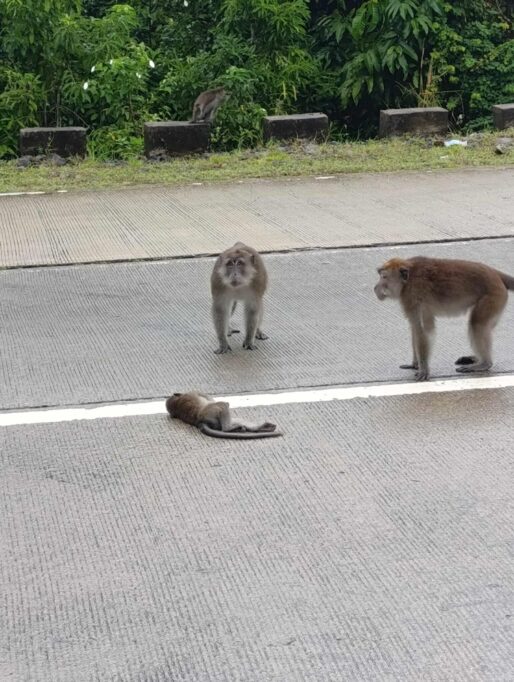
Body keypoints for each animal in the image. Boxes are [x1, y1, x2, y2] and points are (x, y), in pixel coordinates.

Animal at [374, 256, 514, 381]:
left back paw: (484, 363)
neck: (407, 282)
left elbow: (424, 330)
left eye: (384, 277)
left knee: (477, 324)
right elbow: (415, 327)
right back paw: (477, 358)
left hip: (493, 296)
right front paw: (415, 364)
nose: (375, 288)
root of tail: (494, 273)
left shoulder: (414, 295)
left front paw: (424, 370)